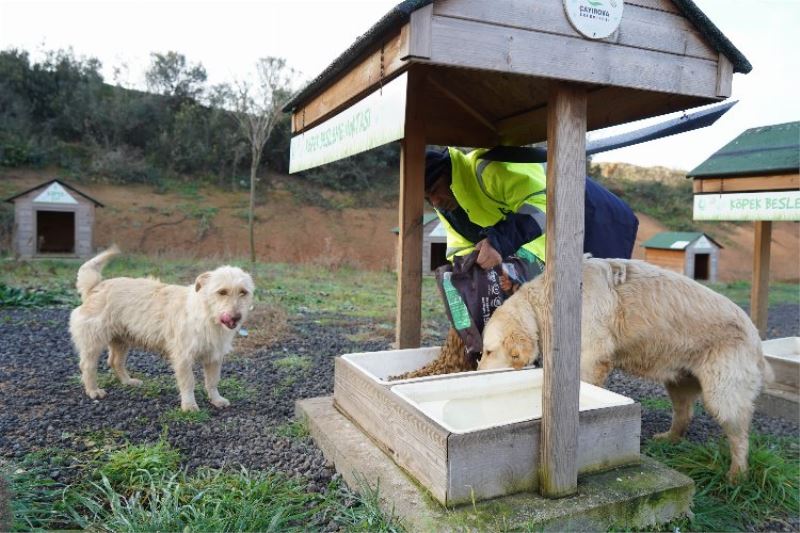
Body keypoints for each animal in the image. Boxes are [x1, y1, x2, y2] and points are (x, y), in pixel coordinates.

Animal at [71, 246, 255, 412]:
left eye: (243, 292)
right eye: (222, 292)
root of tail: (96, 286)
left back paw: (128, 381)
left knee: (115, 362)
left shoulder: (214, 357)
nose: (236, 317)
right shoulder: (183, 357)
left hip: (122, 340)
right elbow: (188, 382)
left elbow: (212, 381)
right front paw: (189, 405)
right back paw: (93, 390)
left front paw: (216, 400)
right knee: (87, 365)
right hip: (93, 342)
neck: (207, 315)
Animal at [478, 256, 772, 480]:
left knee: (739, 436)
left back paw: (737, 474)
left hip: (723, 394)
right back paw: (668, 438)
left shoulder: (591, 357)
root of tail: (755, 336)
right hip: (678, 382)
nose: (477, 371)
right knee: (684, 414)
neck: (548, 304)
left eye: (489, 351)